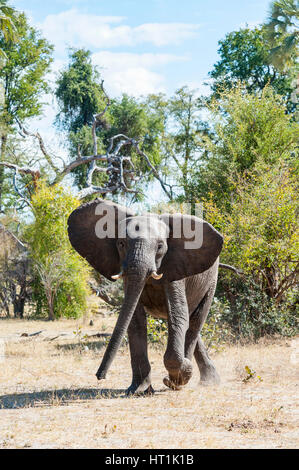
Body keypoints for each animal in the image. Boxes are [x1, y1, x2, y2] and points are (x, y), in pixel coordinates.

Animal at [67, 196, 223, 394]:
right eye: (121, 244)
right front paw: (139, 390)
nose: (99, 376)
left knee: (195, 322)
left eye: (160, 246)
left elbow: (177, 316)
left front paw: (176, 376)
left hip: (211, 281)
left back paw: (183, 380)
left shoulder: (174, 268)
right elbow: (134, 319)